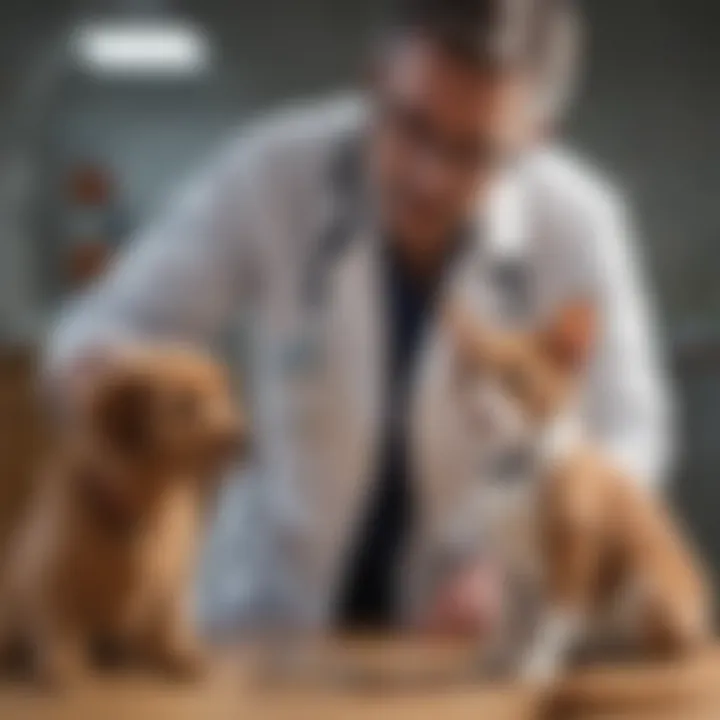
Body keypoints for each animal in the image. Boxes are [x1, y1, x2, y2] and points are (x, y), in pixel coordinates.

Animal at [448, 300, 712, 684]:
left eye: (516, 380)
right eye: (468, 375)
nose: (478, 410)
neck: (515, 473)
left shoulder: (574, 546)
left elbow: (557, 613)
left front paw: (534, 662)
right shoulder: (510, 562)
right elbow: (511, 613)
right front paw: (501, 651)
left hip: (652, 585)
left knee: (663, 643)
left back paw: (615, 652)